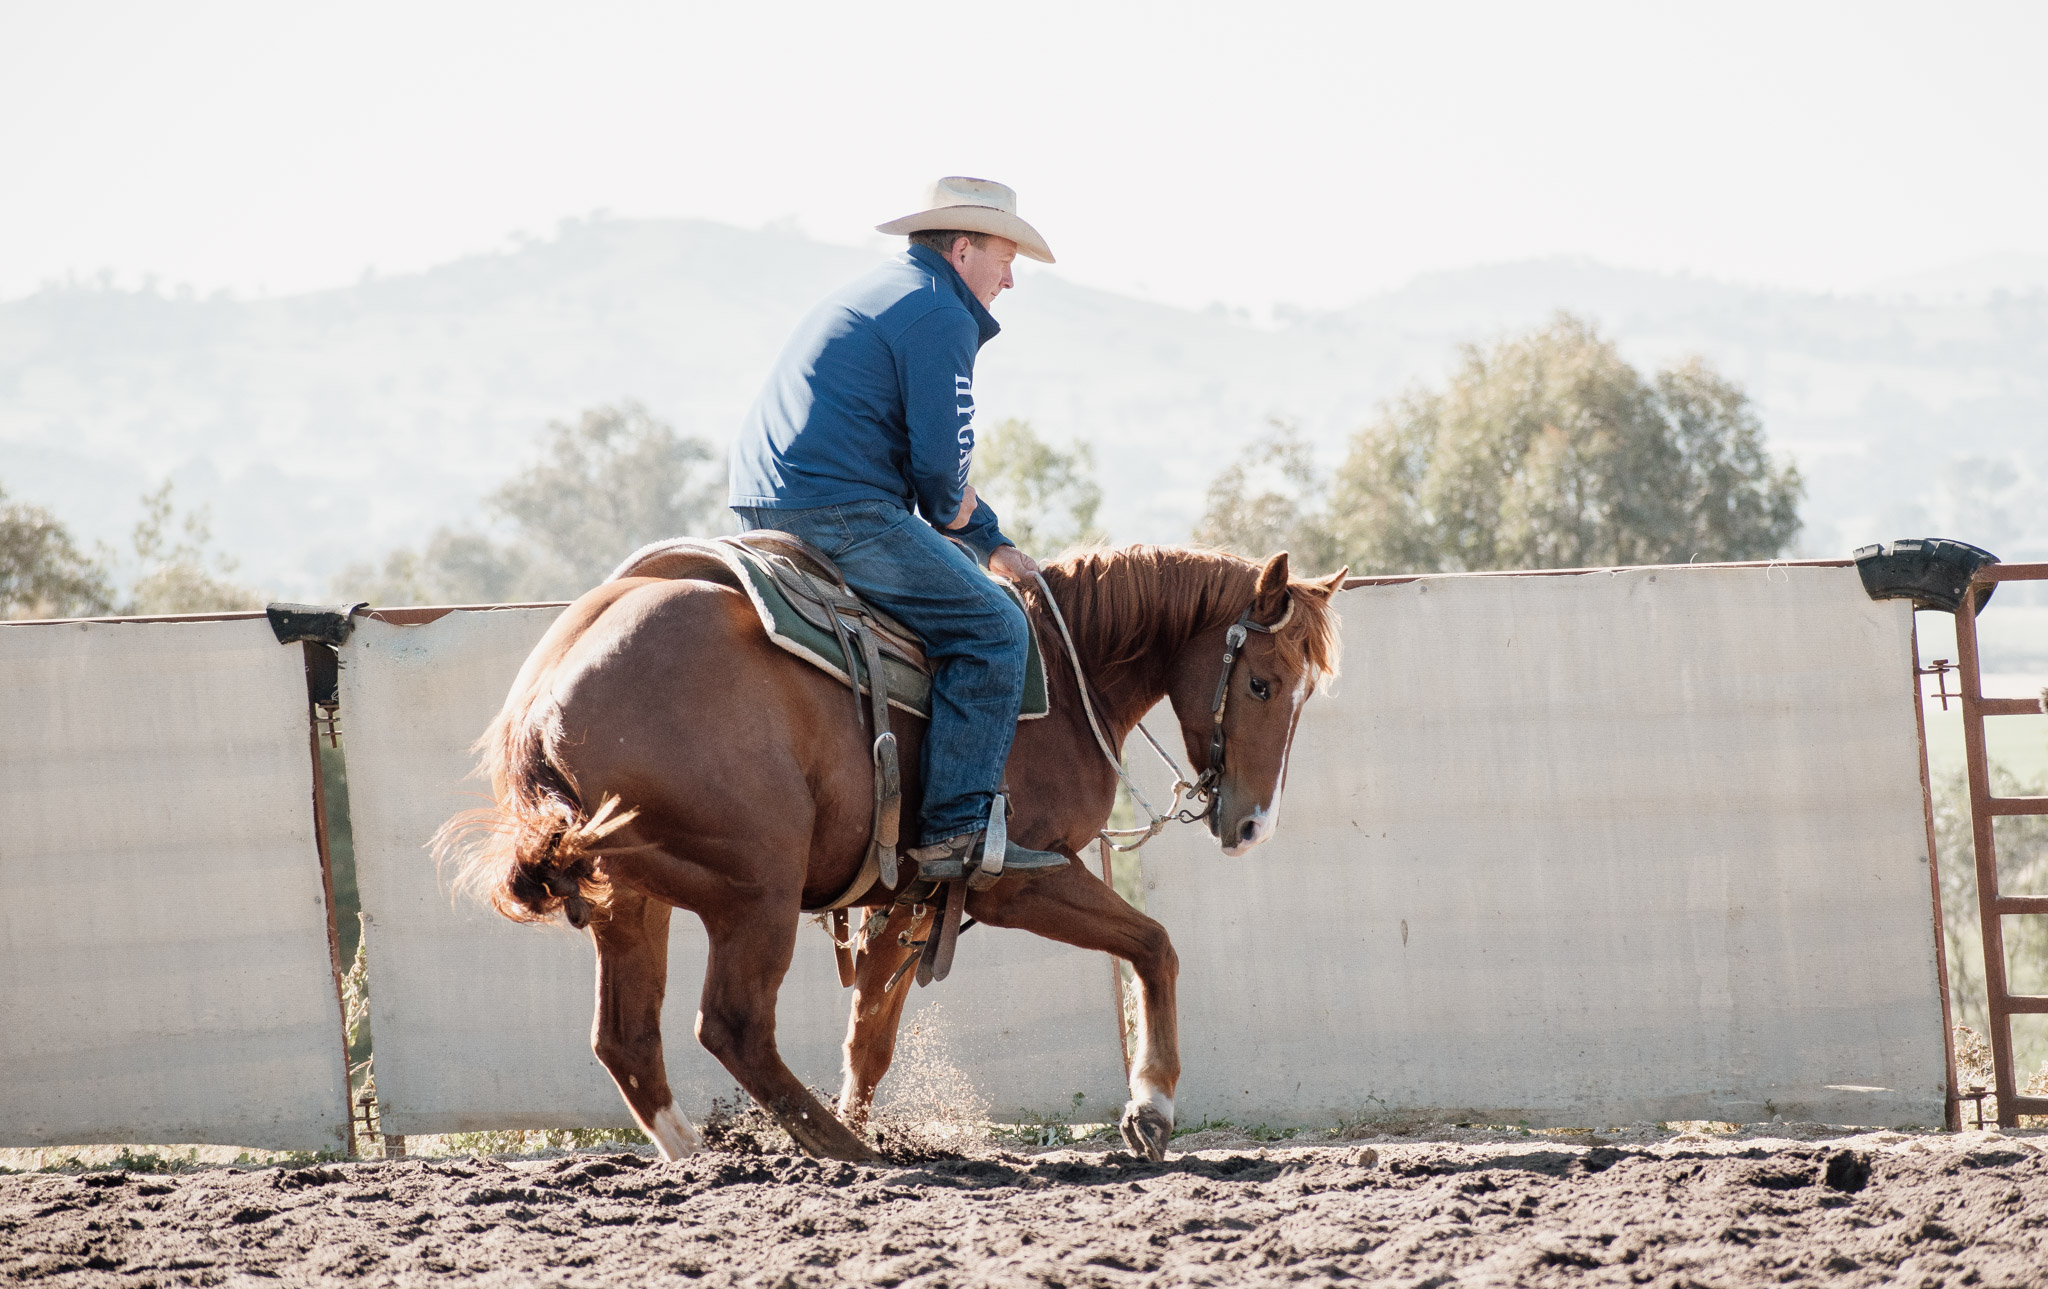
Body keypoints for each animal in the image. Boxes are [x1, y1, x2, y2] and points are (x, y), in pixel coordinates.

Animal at [441, 543, 1345, 1163]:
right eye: (1260, 682)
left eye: (1303, 692)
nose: (1254, 825)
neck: (1063, 672)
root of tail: (545, 697)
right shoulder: (1020, 880)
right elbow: (1155, 945)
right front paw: (1151, 1106)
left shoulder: (911, 898)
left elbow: (870, 1037)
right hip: (756, 890)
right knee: (733, 1024)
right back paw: (850, 1155)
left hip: (632, 896)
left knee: (627, 1039)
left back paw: (708, 1155)